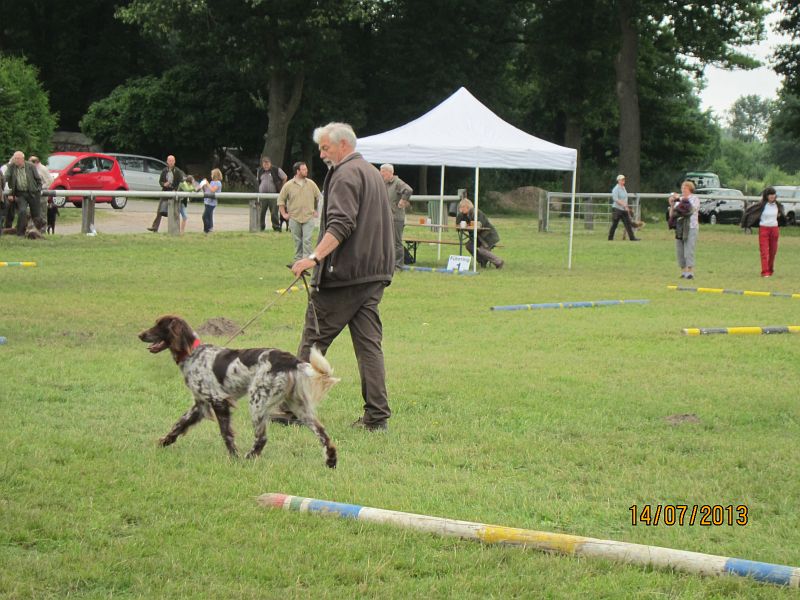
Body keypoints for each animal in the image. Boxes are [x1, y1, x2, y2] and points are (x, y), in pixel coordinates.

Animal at [138, 315, 339, 468]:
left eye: (160, 325)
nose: (140, 334)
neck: (192, 353)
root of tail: (291, 360)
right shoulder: (200, 405)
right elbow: (178, 425)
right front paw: (163, 442)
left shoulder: (218, 401)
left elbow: (226, 433)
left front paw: (234, 456)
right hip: (298, 408)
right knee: (323, 434)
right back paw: (331, 462)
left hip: (257, 402)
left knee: (261, 438)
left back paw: (248, 458)